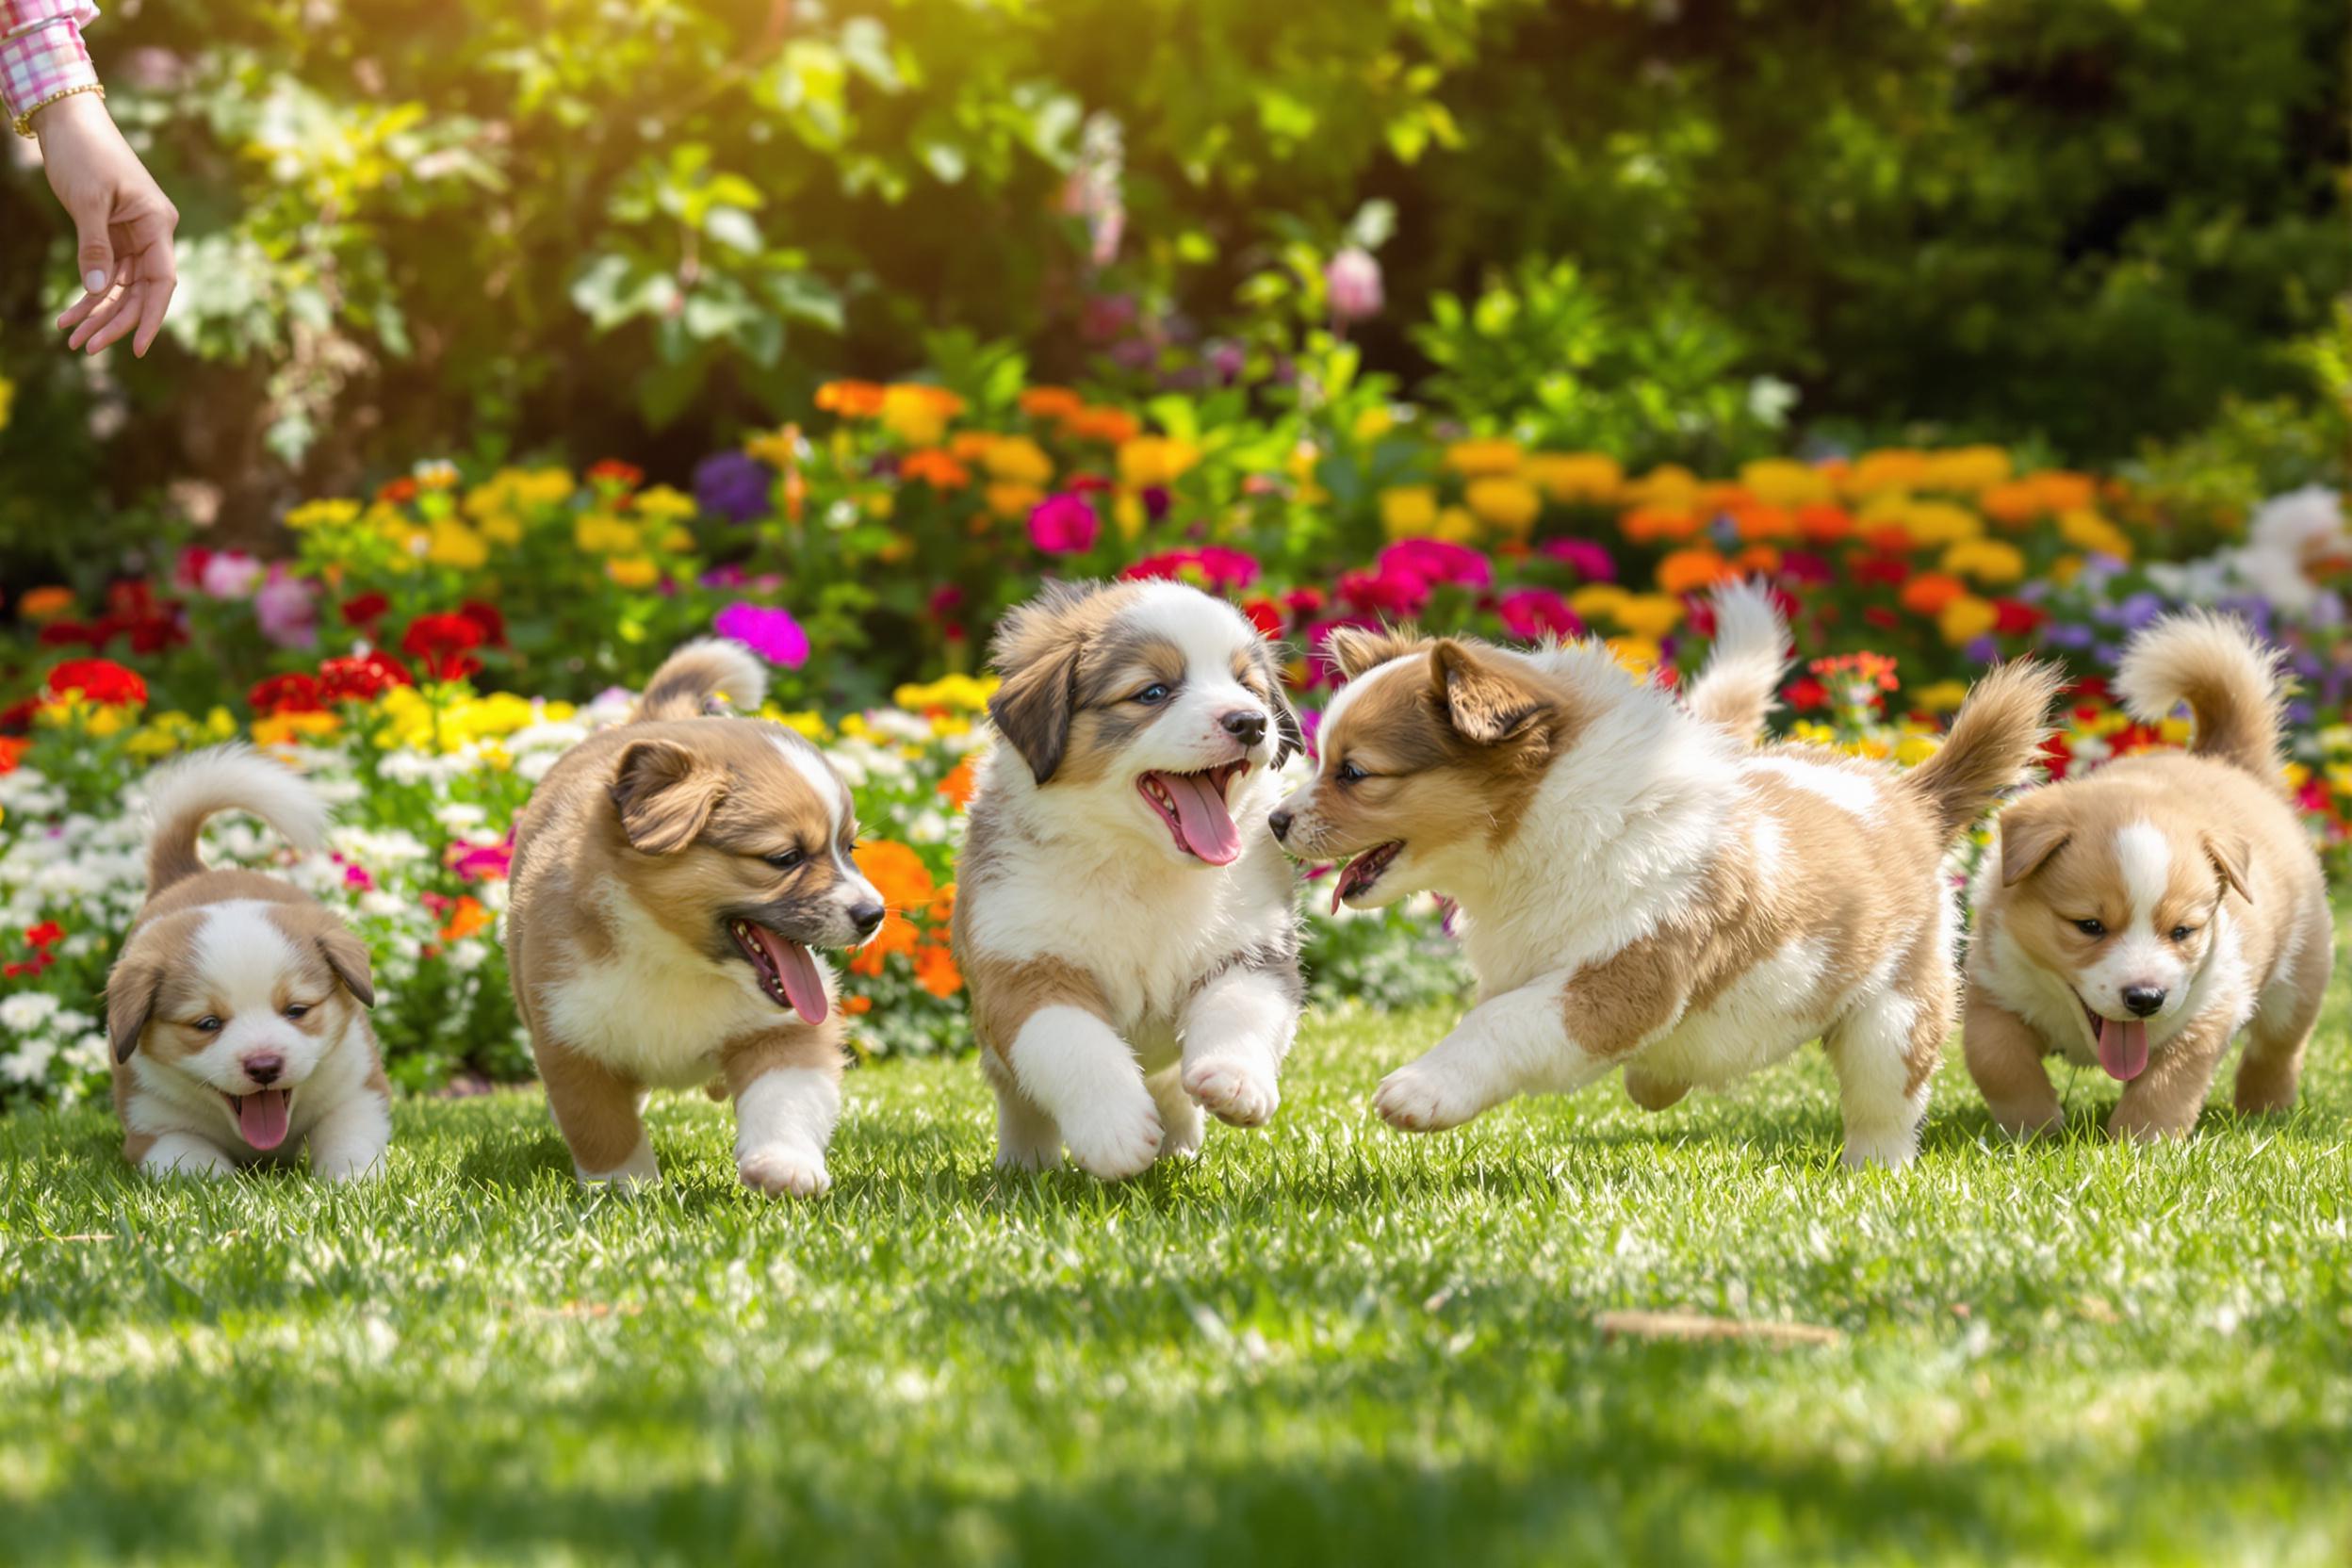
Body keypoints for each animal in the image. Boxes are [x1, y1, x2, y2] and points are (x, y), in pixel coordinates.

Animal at [104, 747, 390, 1175]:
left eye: (297, 1010)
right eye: (207, 1024)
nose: (264, 1066)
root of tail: (190, 873)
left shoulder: (357, 1091)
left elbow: (349, 1139)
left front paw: (351, 1178)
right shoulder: (155, 1127)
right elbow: (196, 1162)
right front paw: (224, 1186)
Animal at [510, 629, 884, 1194]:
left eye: (850, 848)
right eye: (785, 858)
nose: (874, 914)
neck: (676, 958)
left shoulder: (784, 1027)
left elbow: (786, 1096)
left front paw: (783, 1165)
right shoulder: (570, 1036)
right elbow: (603, 1128)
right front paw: (627, 1188)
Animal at [959, 576, 1326, 1175]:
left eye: (1247, 687)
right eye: (1152, 693)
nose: (1250, 722)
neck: (1142, 864)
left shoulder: (1254, 945)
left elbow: (1241, 1005)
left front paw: (1234, 1080)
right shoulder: (1023, 963)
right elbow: (1072, 1041)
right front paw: (1115, 1131)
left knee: (1172, 1088)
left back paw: (1181, 1146)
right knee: (1022, 1103)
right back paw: (1027, 1164)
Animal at [1269, 585, 2060, 1166]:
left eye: (1353, 773)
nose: (1275, 821)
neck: (1533, 833)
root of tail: (1913, 796)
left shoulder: (1623, 976)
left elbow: (1503, 1023)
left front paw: (1419, 1091)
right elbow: (1496, 1014)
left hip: (1893, 1014)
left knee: (1883, 1105)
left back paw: (1874, 1173)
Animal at [1956, 611, 2324, 1142]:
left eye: (2183, 931)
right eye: (2089, 926)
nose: (2146, 998)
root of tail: (2225, 760)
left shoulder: (2211, 1007)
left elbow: (2167, 1084)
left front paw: (2140, 1143)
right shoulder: (1993, 985)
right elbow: (1997, 1058)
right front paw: (2036, 1129)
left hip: (2297, 982)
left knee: (2277, 1051)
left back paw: (2263, 1113)